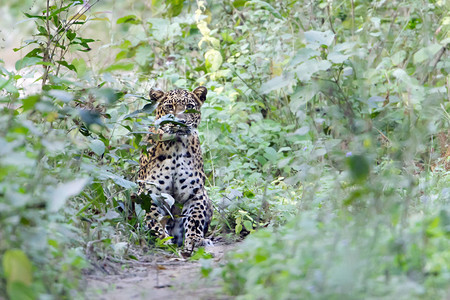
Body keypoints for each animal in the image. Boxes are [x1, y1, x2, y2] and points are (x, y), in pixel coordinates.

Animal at [137, 85, 213, 252]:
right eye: (169, 107)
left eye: (189, 106)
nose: (180, 121)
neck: (176, 145)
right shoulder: (149, 193)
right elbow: (153, 219)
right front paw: (162, 239)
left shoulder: (196, 193)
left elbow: (195, 218)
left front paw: (195, 240)